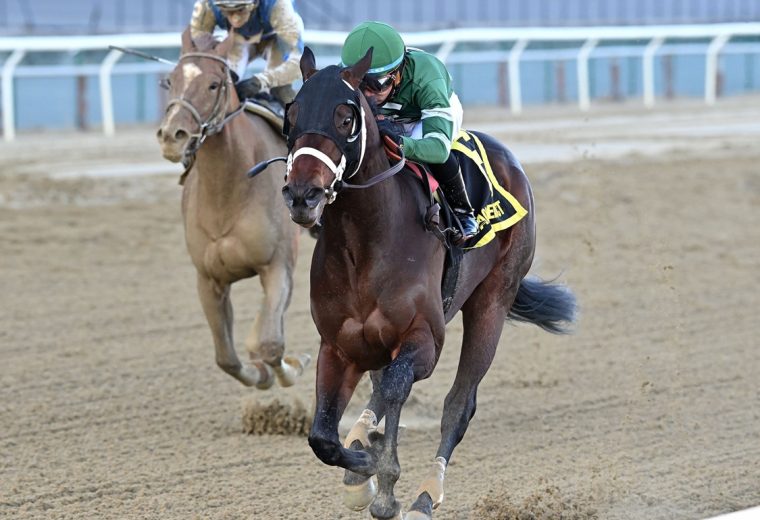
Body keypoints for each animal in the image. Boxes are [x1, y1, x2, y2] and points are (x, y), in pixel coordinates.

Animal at [156, 25, 310, 390]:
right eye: (171, 80)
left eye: (214, 84)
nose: (172, 136)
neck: (228, 192)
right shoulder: (209, 279)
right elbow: (227, 358)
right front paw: (261, 375)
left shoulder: (278, 265)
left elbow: (268, 342)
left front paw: (292, 367)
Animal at [280, 47, 576, 520]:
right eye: (291, 115)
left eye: (345, 118)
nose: (302, 195)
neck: (366, 240)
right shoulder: (340, 345)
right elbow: (323, 435)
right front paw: (365, 466)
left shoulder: (424, 338)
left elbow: (396, 387)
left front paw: (377, 468)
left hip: (492, 301)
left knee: (458, 404)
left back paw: (424, 495)